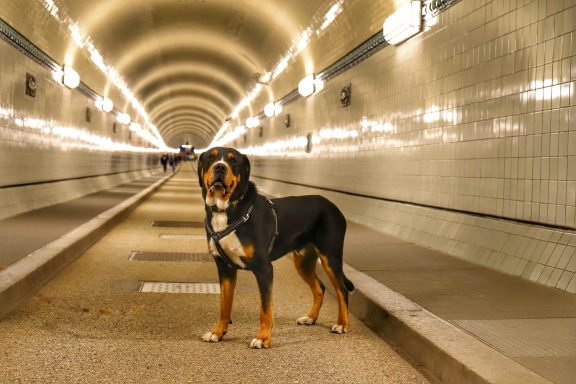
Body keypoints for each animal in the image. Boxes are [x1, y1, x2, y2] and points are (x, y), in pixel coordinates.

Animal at [196, 146, 354, 348]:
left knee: (342, 289)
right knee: (320, 287)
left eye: (233, 160)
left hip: (330, 256)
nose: (220, 167)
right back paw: (310, 318)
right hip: (303, 261)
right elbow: (224, 305)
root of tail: (332, 205)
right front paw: (218, 333)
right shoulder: (225, 268)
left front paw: (263, 338)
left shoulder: (264, 268)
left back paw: (342, 324)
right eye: (211, 157)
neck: (226, 210)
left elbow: (265, 309)